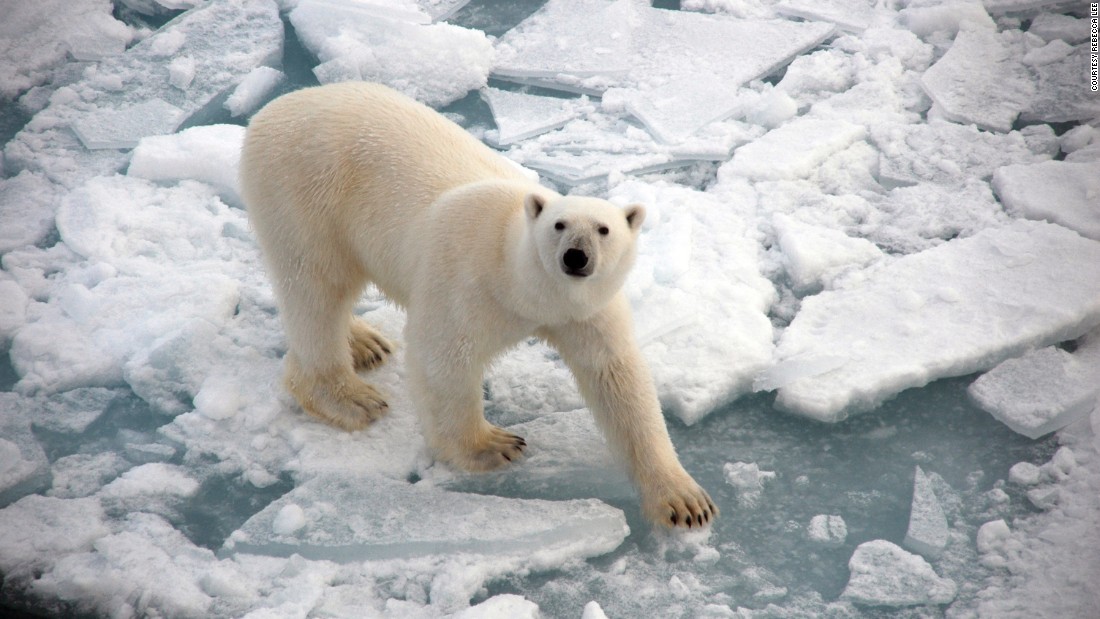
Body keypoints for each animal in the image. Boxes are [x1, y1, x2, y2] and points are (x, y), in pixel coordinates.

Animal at [240, 82, 717, 527]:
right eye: (559, 225)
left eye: (603, 229)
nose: (576, 257)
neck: (519, 279)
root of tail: (273, 109)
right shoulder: (466, 283)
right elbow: (443, 358)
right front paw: (494, 446)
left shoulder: (586, 310)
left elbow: (617, 378)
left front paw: (685, 501)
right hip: (303, 191)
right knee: (317, 287)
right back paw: (351, 396)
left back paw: (364, 342)